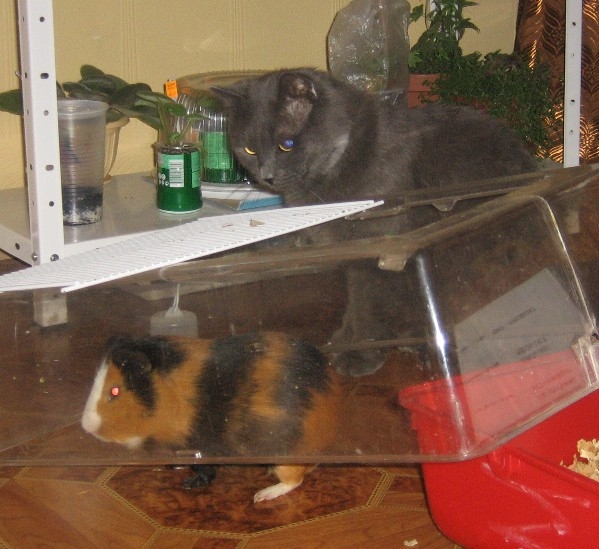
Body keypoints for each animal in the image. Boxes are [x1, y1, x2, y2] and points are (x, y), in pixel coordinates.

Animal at [212, 69, 538, 375]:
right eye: (249, 150)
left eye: (287, 144)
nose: (266, 176)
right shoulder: (351, 254)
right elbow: (355, 301)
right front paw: (346, 338)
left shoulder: (378, 250)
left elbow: (369, 304)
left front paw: (360, 354)